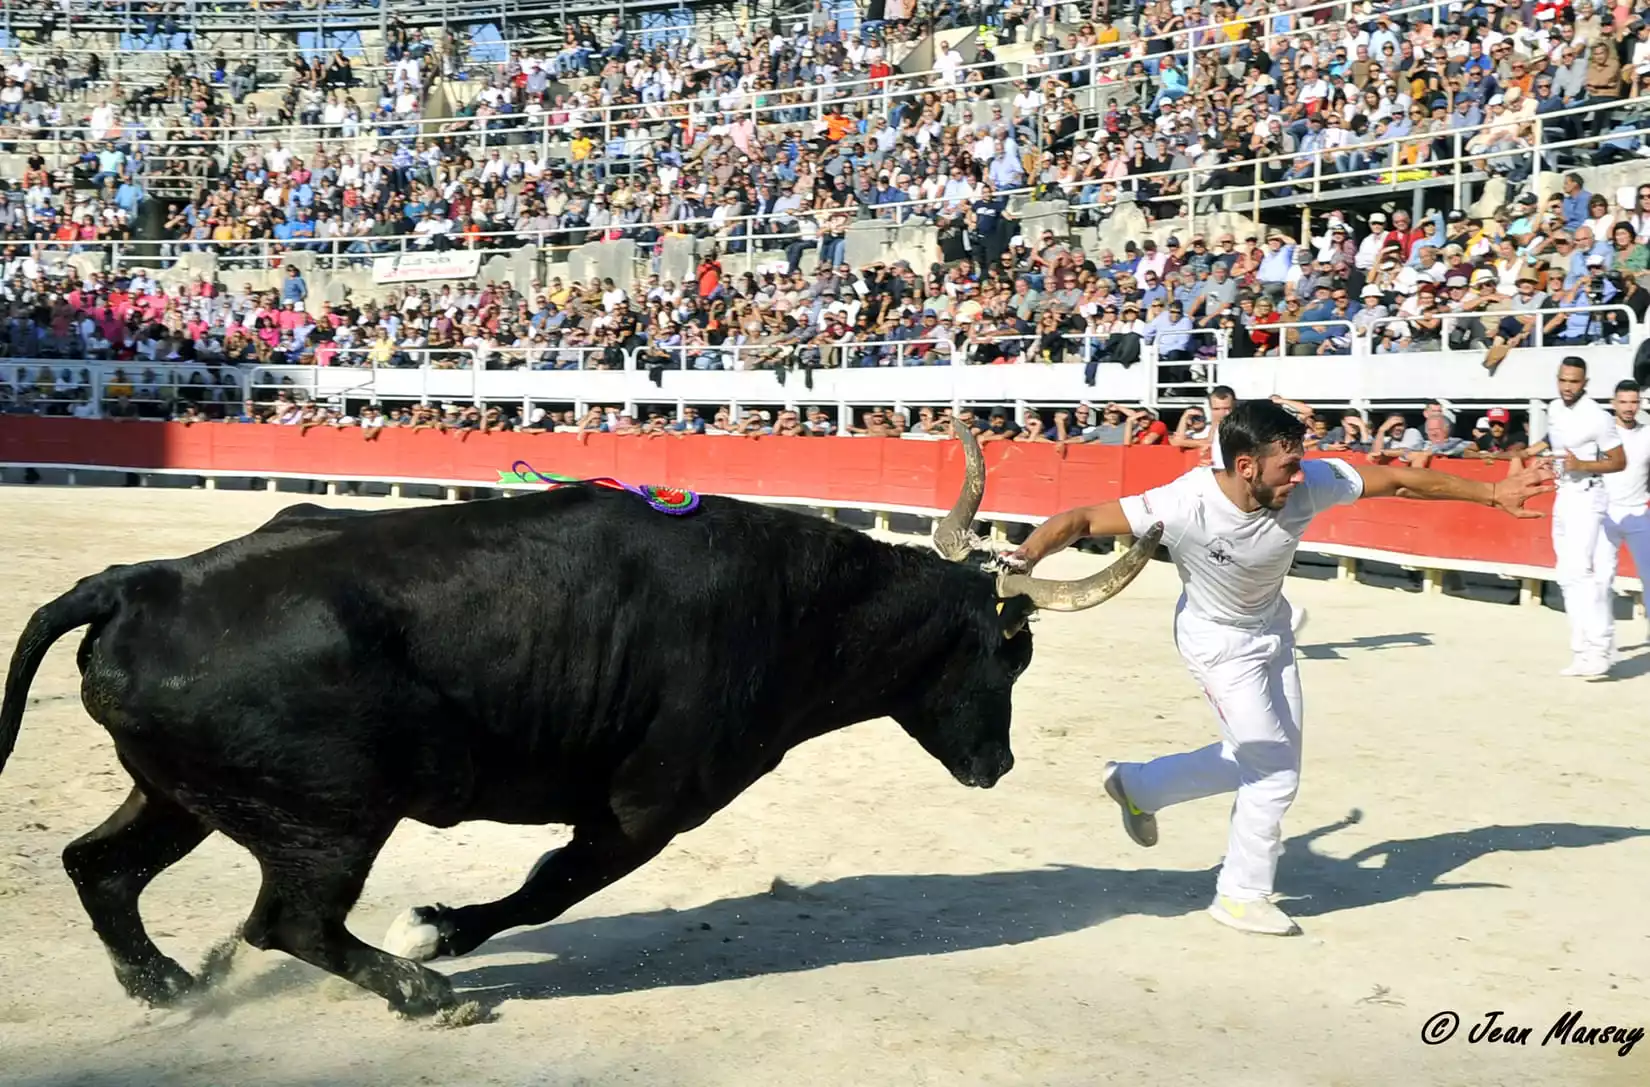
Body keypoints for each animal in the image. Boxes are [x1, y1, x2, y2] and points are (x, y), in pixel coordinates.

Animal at [0, 428, 1161, 1016]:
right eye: (1012, 652)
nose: (998, 763)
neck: (794, 605)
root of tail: (139, 583)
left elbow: (548, 887)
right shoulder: (651, 806)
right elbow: (552, 887)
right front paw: (438, 930)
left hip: (186, 790)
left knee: (101, 865)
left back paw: (166, 984)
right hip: (332, 814)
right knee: (289, 919)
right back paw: (424, 990)